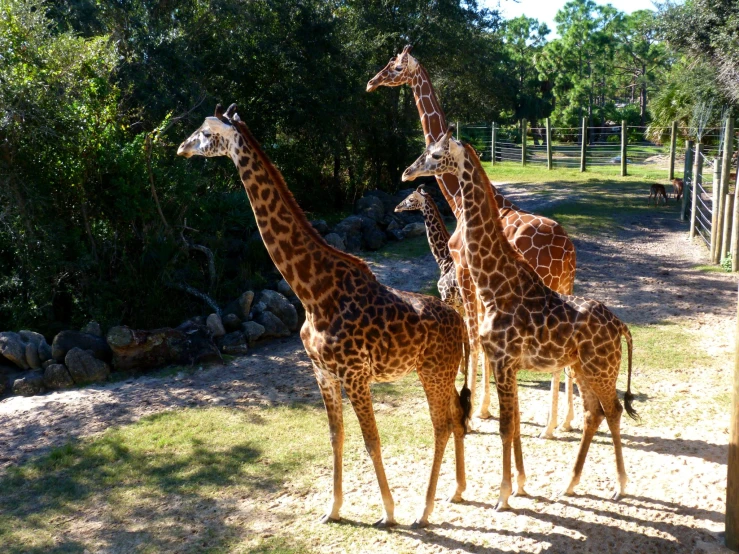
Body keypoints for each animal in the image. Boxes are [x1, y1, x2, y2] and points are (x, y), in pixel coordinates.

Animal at [176, 102, 472, 528]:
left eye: (204, 132)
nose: (181, 148)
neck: (313, 293)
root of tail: (461, 325)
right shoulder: (323, 374)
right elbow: (337, 437)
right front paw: (332, 510)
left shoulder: (355, 374)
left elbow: (371, 439)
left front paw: (388, 512)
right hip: (436, 371)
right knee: (457, 413)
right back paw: (457, 490)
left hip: (433, 371)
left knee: (442, 424)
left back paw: (423, 510)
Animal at [368, 46, 580, 436]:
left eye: (395, 66)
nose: (371, 82)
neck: (456, 201)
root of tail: (568, 250)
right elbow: (480, 340)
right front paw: (484, 405)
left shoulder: (465, 275)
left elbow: (475, 339)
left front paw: (476, 410)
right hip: (565, 284)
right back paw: (566, 420)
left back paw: (550, 425)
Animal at [402, 126, 640, 508]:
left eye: (436, 155)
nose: (407, 172)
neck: (495, 284)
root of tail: (621, 325)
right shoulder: (508, 363)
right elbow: (513, 422)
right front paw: (521, 484)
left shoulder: (502, 359)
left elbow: (504, 424)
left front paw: (502, 495)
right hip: (585, 368)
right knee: (594, 413)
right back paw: (569, 484)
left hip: (602, 369)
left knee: (614, 410)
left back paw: (619, 486)